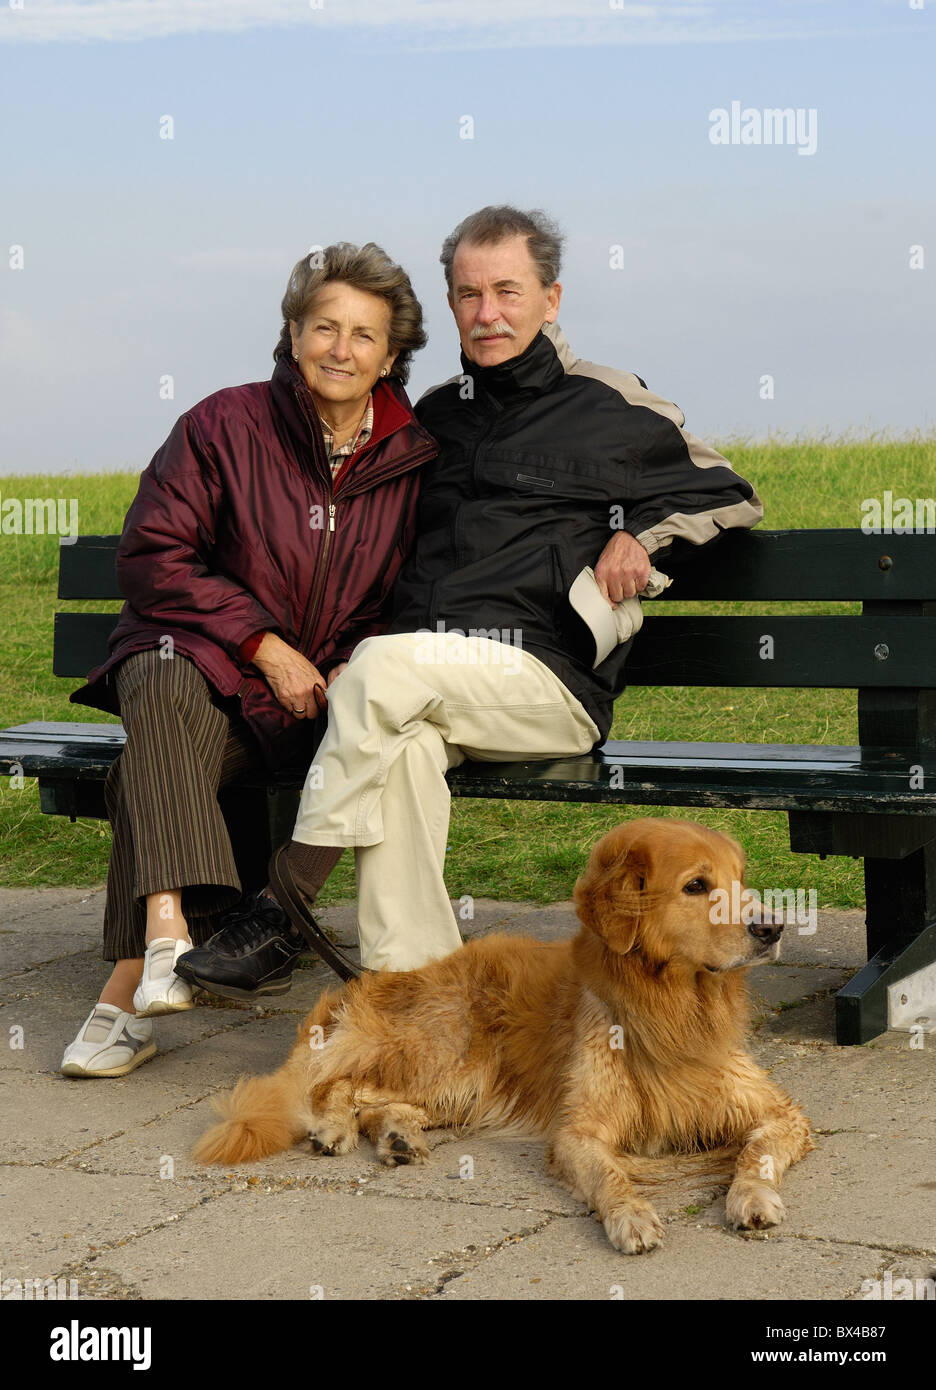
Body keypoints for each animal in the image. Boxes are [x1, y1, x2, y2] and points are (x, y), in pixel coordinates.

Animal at [194, 817, 812, 1256]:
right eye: (696, 886)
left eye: (740, 881)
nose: (773, 927)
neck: (671, 1005)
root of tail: (370, 981)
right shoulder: (578, 1133)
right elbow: (611, 1175)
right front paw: (630, 1215)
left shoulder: (782, 1113)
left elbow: (757, 1153)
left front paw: (753, 1197)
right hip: (452, 1052)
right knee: (337, 1084)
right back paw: (334, 1128)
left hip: (467, 1086)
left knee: (378, 1100)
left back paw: (397, 1136)